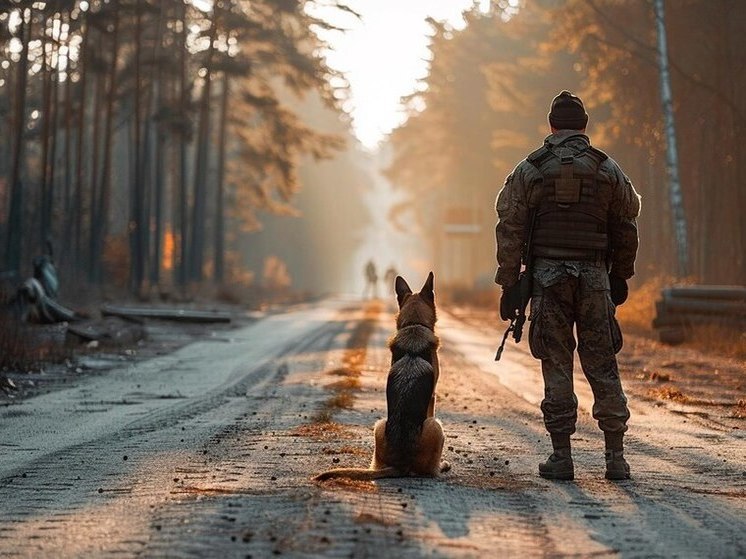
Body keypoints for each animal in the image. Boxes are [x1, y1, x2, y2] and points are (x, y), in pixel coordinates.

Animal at [312, 272, 448, 482]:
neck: (413, 325)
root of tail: (400, 464)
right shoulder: (432, 397)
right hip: (435, 426)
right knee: (430, 470)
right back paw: (442, 466)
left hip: (379, 425)